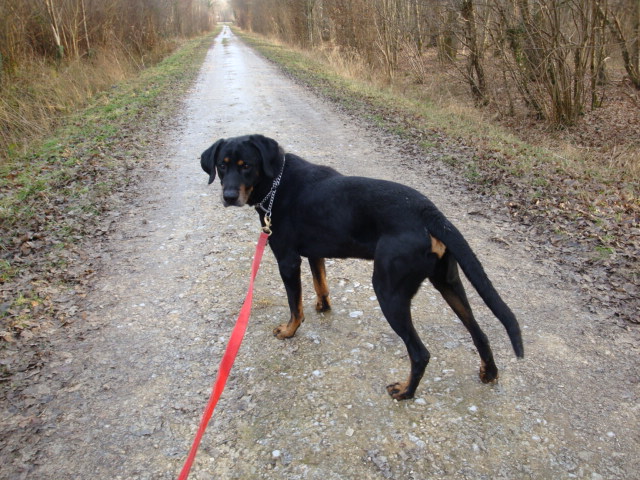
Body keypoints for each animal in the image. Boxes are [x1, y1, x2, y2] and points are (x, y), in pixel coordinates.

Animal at [201, 133, 524, 400]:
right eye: (221, 165)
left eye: (246, 165)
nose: (228, 197)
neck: (276, 184)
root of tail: (430, 213)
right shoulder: (315, 254)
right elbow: (321, 284)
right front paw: (323, 307)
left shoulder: (288, 260)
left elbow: (295, 305)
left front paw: (290, 330)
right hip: (448, 281)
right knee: (479, 333)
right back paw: (489, 372)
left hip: (389, 291)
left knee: (420, 353)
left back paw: (405, 391)